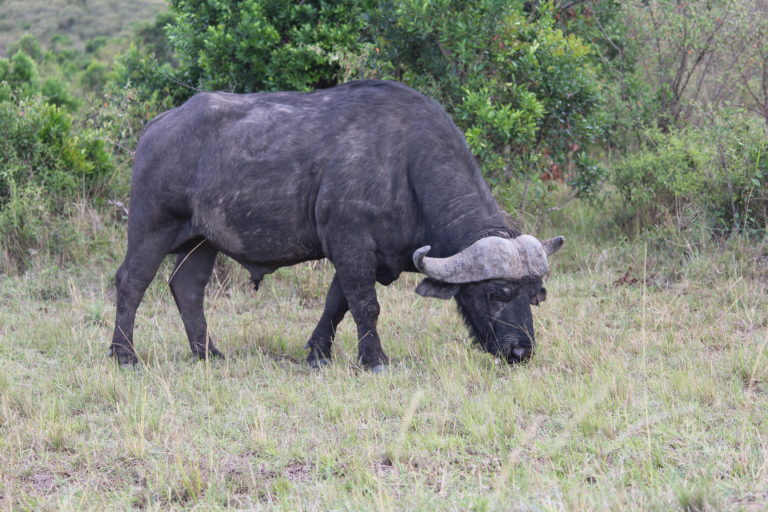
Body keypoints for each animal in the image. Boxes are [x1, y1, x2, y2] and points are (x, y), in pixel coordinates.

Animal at [108, 80, 564, 370]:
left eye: (535, 295)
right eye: (497, 293)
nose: (521, 352)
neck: (404, 167)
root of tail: (157, 126)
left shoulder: (360, 254)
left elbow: (336, 304)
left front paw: (318, 354)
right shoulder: (351, 244)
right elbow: (366, 305)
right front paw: (374, 361)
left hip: (202, 242)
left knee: (187, 288)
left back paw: (207, 354)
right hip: (152, 228)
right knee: (131, 281)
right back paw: (125, 355)